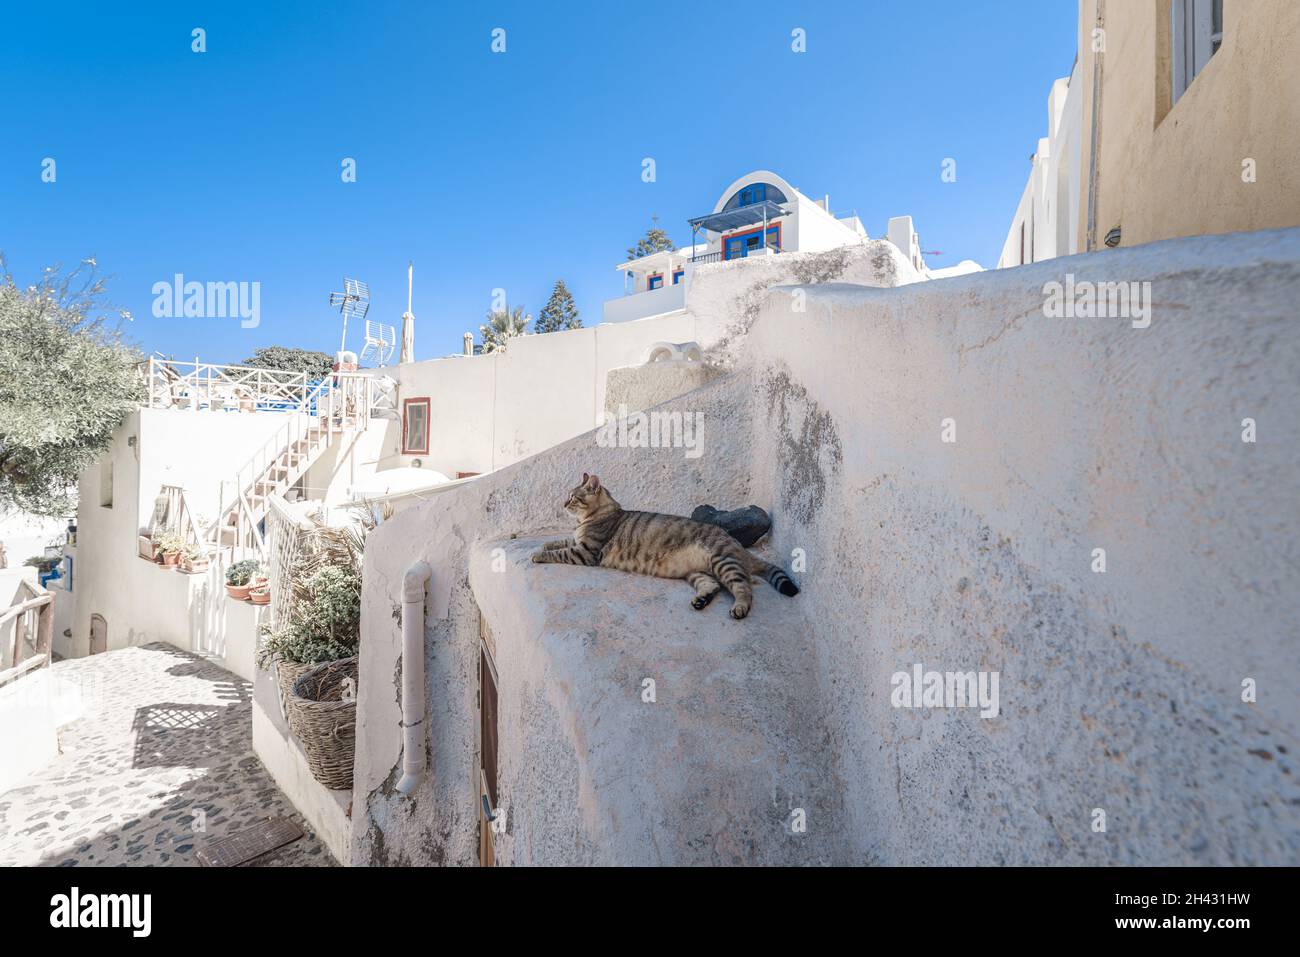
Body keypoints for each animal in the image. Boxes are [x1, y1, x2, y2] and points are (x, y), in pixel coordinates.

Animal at [530, 473, 795, 621]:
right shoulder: (578, 542)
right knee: (713, 585)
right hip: (697, 572)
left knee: (744, 588)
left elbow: (559, 552)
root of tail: (737, 544)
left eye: (573, 497)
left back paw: (739, 608)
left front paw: (538, 554)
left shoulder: (586, 551)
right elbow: (561, 541)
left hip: (723, 561)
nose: (563, 503)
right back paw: (701, 600)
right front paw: (543, 544)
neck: (589, 518)